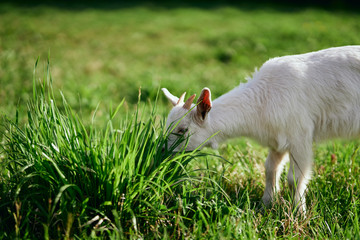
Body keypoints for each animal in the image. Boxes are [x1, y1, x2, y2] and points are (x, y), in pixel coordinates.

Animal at [162, 46, 360, 213]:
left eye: (182, 130)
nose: (162, 152)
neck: (263, 100)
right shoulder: (277, 140)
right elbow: (270, 169)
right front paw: (265, 205)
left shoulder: (300, 135)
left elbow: (295, 178)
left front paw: (299, 213)